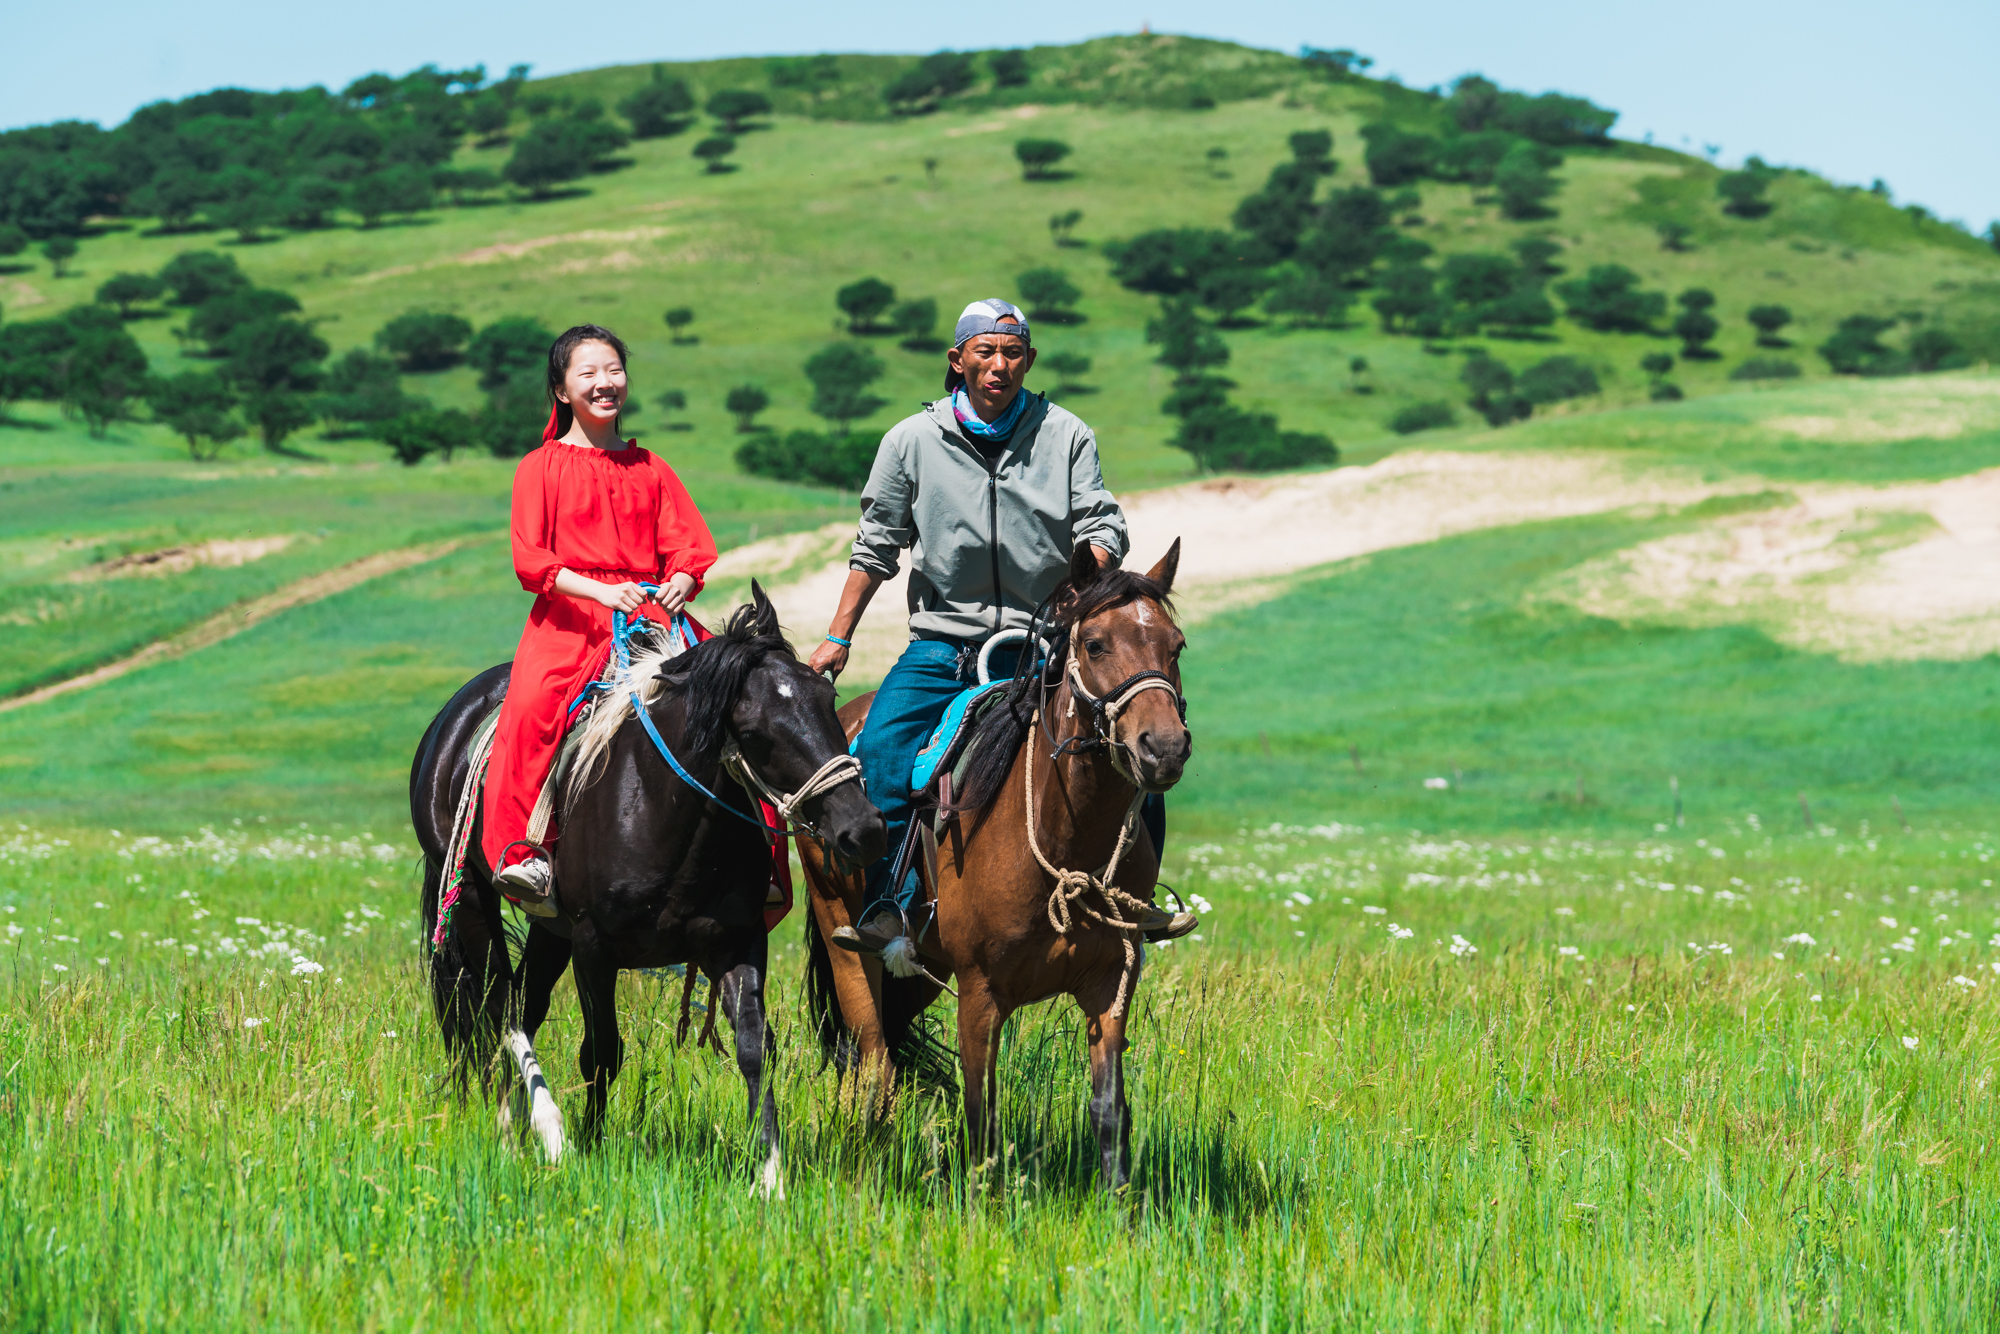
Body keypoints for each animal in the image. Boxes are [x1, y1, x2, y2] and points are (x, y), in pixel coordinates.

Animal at [414, 588, 884, 1184]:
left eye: (828, 699)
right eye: (756, 733)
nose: (862, 829)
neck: (667, 816)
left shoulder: (736, 939)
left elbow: (755, 1047)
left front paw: (770, 1174)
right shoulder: (594, 945)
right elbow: (601, 1052)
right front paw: (588, 1146)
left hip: (552, 929)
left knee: (522, 1004)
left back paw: (517, 1125)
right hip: (474, 896)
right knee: (499, 1007)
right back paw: (540, 1128)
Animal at [796, 544, 1184, 1192]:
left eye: (1175, 646)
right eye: (1095, 643)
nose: (1164, 747)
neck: (1064, 840)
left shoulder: (1111, 982)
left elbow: (1110, 1109)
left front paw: (1119, 1203)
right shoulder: (980, 992)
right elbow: (982, 1115)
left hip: (921, 966)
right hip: (845, 939)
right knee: (873, 1061)